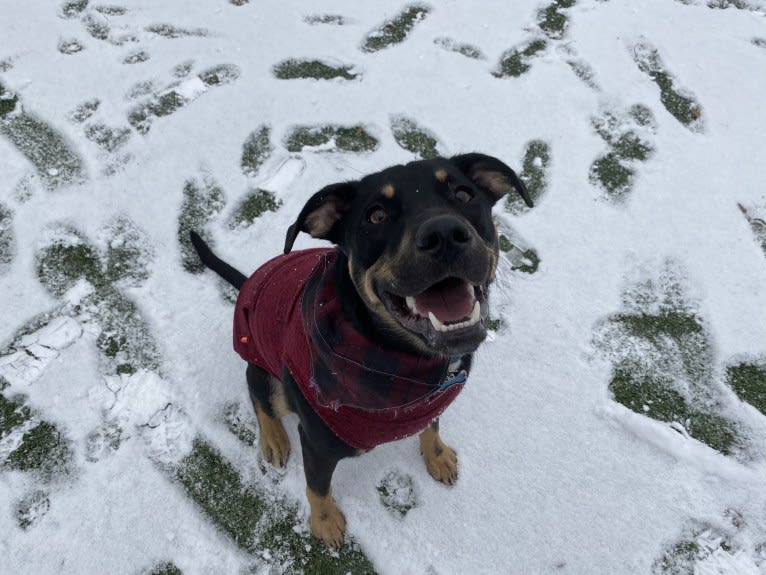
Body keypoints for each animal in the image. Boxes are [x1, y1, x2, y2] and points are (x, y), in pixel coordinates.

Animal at [190, 153, 536, 548]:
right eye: (377, 216)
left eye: (464, 194)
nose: (445, 235)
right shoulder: (317, 441)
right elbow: (317, 487)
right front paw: (325, 523)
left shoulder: (432, 402)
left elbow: (431, 428)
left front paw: (438, 458)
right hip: (268, 372)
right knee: (258, 392)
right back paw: (274, 439)